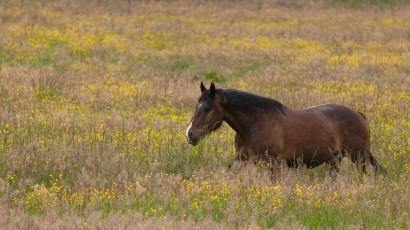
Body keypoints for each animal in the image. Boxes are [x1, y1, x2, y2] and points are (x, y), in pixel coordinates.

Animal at [186, 82, 384, 174]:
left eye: (207, 108)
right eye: (196, 106)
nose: (190, 135)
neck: (254, 125)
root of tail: (358, 115)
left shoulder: (273, 164)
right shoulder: (242, 159)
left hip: (359, 156)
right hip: (334, 160)